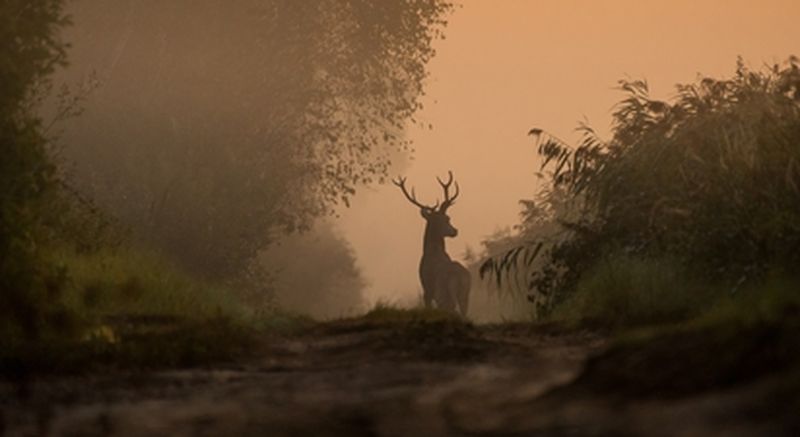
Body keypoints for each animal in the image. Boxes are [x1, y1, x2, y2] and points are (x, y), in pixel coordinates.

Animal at [393, 171, 470, 316]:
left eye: (447, 218)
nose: (455, 231)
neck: (432, 250)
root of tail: (457, 275)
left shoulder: (426, 289)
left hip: (441, 292)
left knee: (451, 307)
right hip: (466, 292)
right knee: (464, 311)